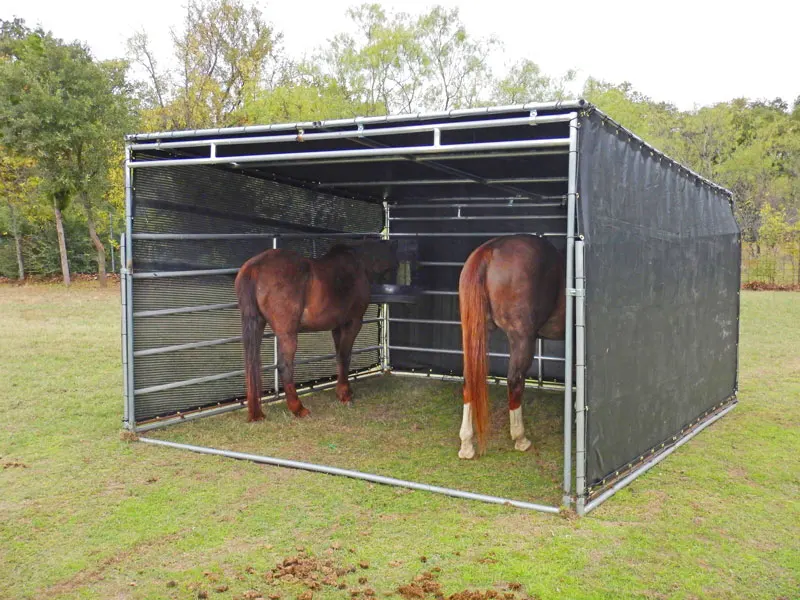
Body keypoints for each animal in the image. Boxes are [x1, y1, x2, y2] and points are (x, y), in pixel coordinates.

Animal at [234, 238, 398, 422]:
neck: (358, 263)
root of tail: (255, 268)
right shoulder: (353, 323)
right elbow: (345, 356)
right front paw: (345, 394)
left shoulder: (337, 327)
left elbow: (339, 357)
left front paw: (343, 391)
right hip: (287, 334)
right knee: (284, 366)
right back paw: (299, 409)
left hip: (257, 324)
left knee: (252, 364)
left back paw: (256, 414)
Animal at [457, 234, 566, 459]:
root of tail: (491, 249)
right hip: (521, 338)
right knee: (515, 380)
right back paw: (520, 438)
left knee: (469, 377)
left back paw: (466, 444)